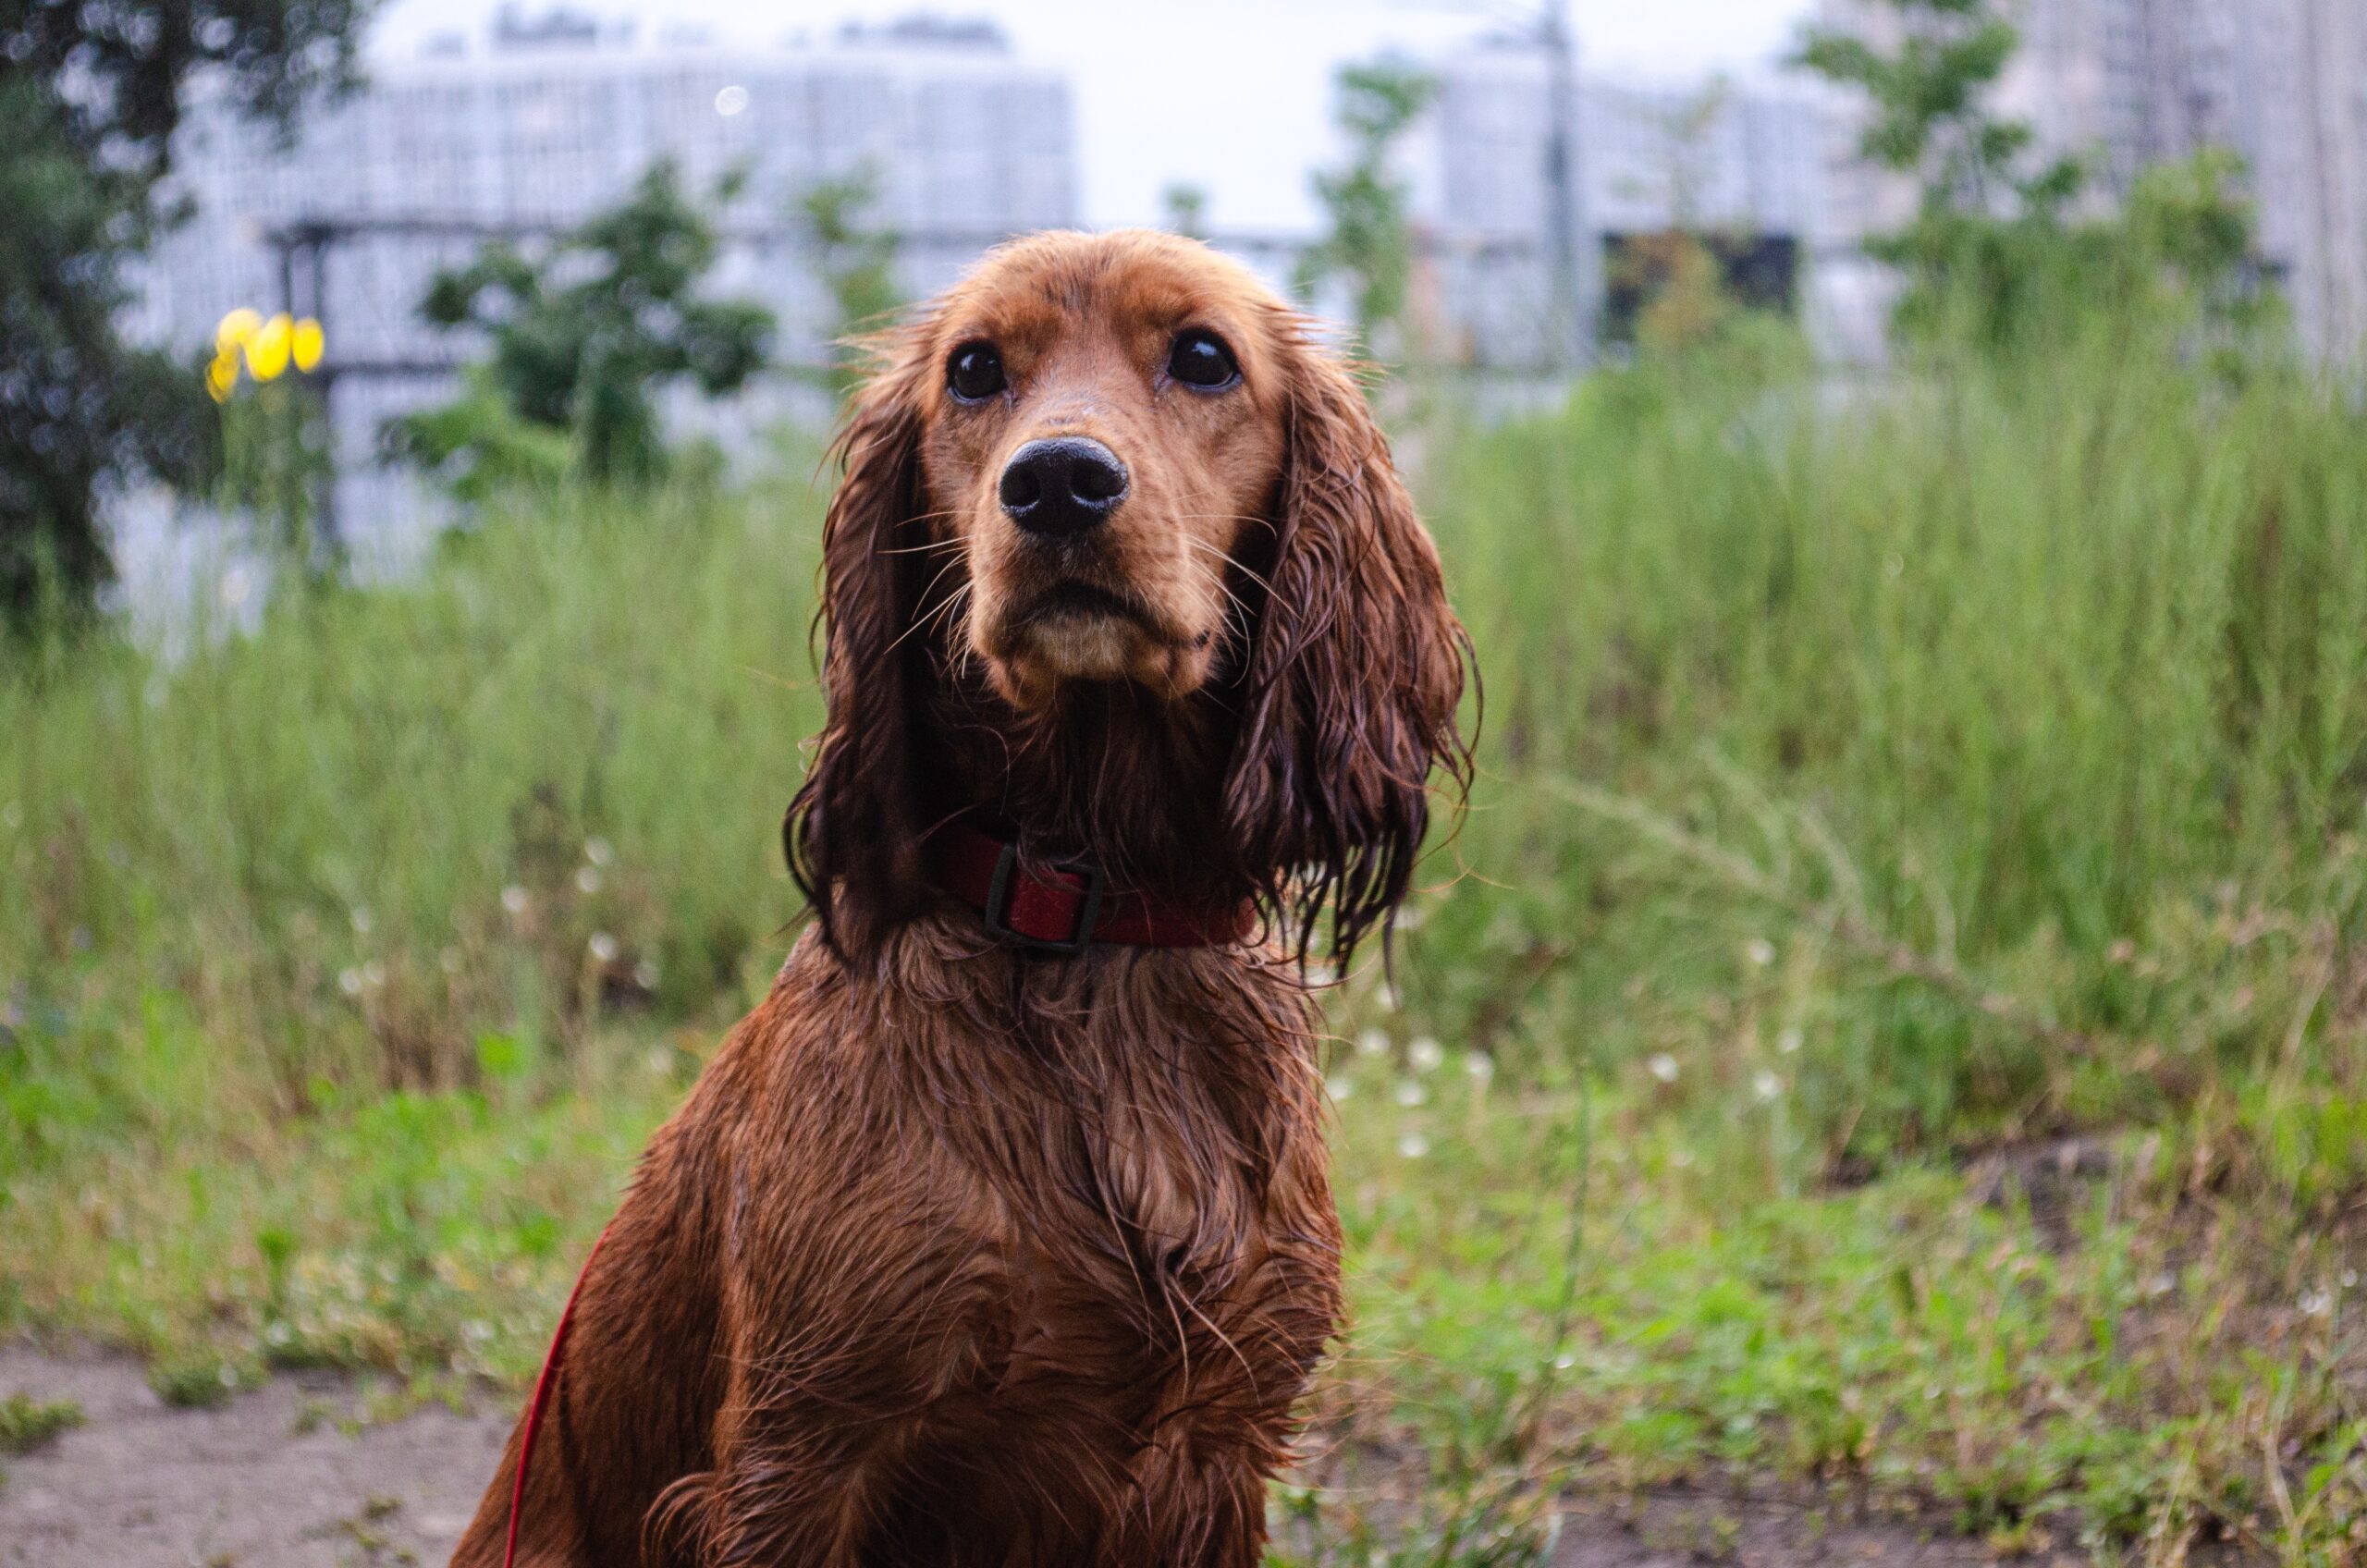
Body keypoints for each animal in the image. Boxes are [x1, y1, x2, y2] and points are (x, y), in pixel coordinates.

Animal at [451, 233, 1467, 1568]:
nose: (1058, 485)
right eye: (975, 371)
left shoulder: (1216, 1448)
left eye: (1204, 356)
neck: (1088, 926)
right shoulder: (801, 1459)